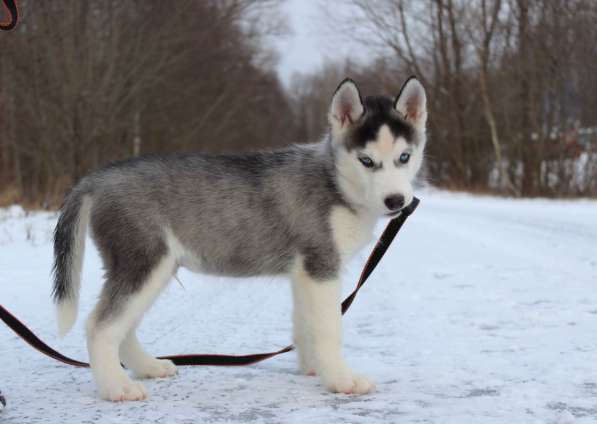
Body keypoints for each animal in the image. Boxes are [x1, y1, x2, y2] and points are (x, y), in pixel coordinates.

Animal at [50, 77, 424, 400]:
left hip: (153, 267)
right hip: (143, 261)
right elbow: (330, 328)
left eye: (404, 157)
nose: (396, 201)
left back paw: (147, 367)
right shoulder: (321, 266)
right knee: (100, 326)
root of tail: (97, 178)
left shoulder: (305, 273)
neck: (337, 183)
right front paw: (341, 379)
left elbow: (306, 325)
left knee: (123, 325)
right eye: (366, 161)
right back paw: (117, 387)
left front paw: (313, 368)